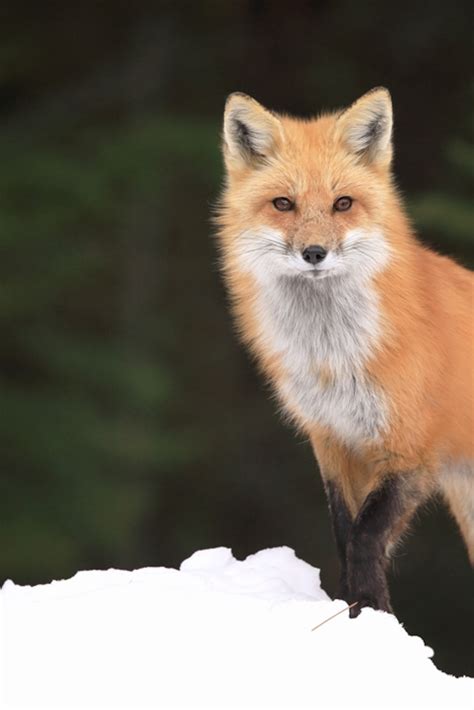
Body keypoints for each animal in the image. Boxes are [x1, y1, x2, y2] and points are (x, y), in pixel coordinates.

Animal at [216, 87, 474, 617]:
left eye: (343, 204)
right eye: (283, 204)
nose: (314, 253)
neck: (334, 360)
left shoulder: (410, 450)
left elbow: (366, 536)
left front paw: (372, 611)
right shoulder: (333, 440)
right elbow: (343, 530)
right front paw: (352, 608)